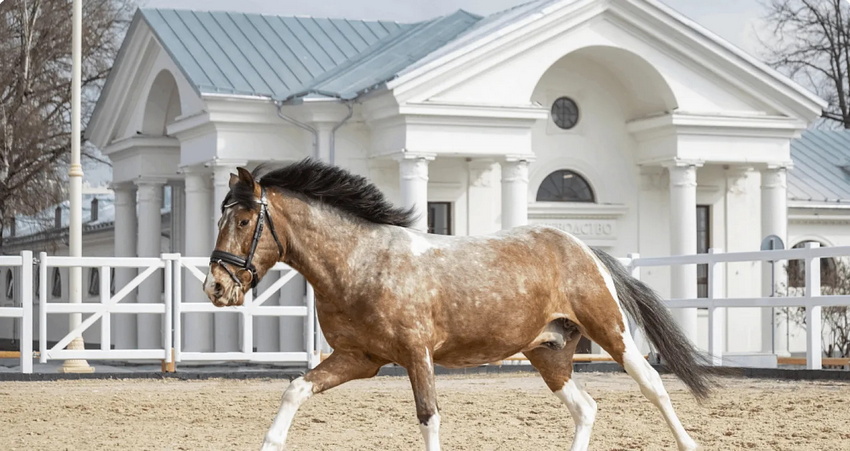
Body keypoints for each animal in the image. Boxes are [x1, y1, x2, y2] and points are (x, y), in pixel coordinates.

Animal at [202, 160, 712, 451]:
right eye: (221, 217)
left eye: (243, 220)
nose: (216, 287)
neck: (362, 263)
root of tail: (582, 248)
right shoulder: (358, 359)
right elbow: (295, 389)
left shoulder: (416, 356)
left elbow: (429, 419)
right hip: (548, 353)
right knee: (585, 409)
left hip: (611, 331)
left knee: (653, 386)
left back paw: (689, 442)